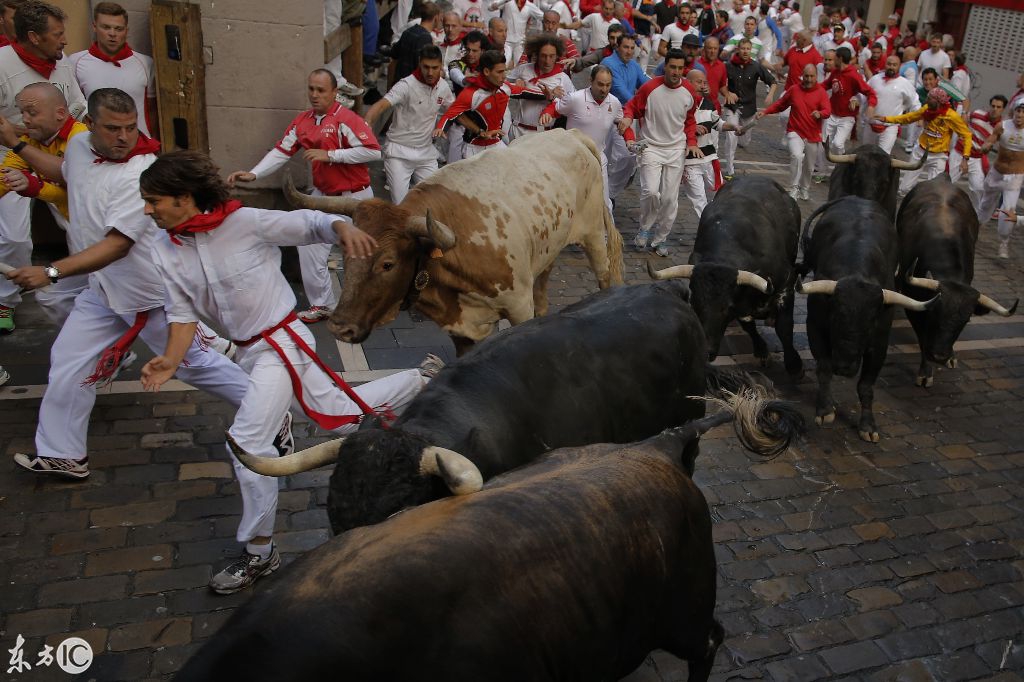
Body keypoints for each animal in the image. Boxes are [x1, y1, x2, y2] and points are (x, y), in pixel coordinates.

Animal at [286, 127, 622, 352]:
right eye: (346, 255)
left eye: (387, 264)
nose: (339, 327)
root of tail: (571, 133)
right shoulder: (460, 329)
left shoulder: (518, 307)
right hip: (547, 249)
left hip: (593, 234)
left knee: (605, 275)